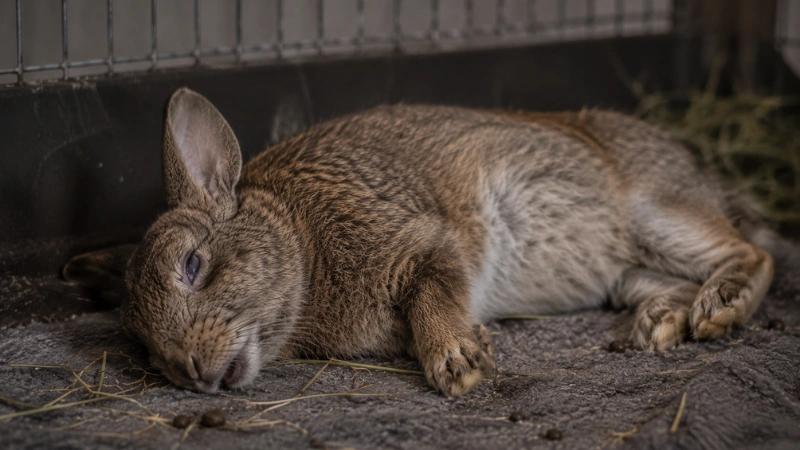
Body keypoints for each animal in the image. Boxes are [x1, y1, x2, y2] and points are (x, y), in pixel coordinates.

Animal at [119, 87, 775, 396]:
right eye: (145, 346)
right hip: (624, 272)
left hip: (654, 212)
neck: (302, 244)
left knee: (753, 254)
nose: (191, 372)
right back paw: (660, 322)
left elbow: (434, 291)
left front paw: (459, 362)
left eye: (194, 264)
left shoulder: (424, 242)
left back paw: (720, 308)